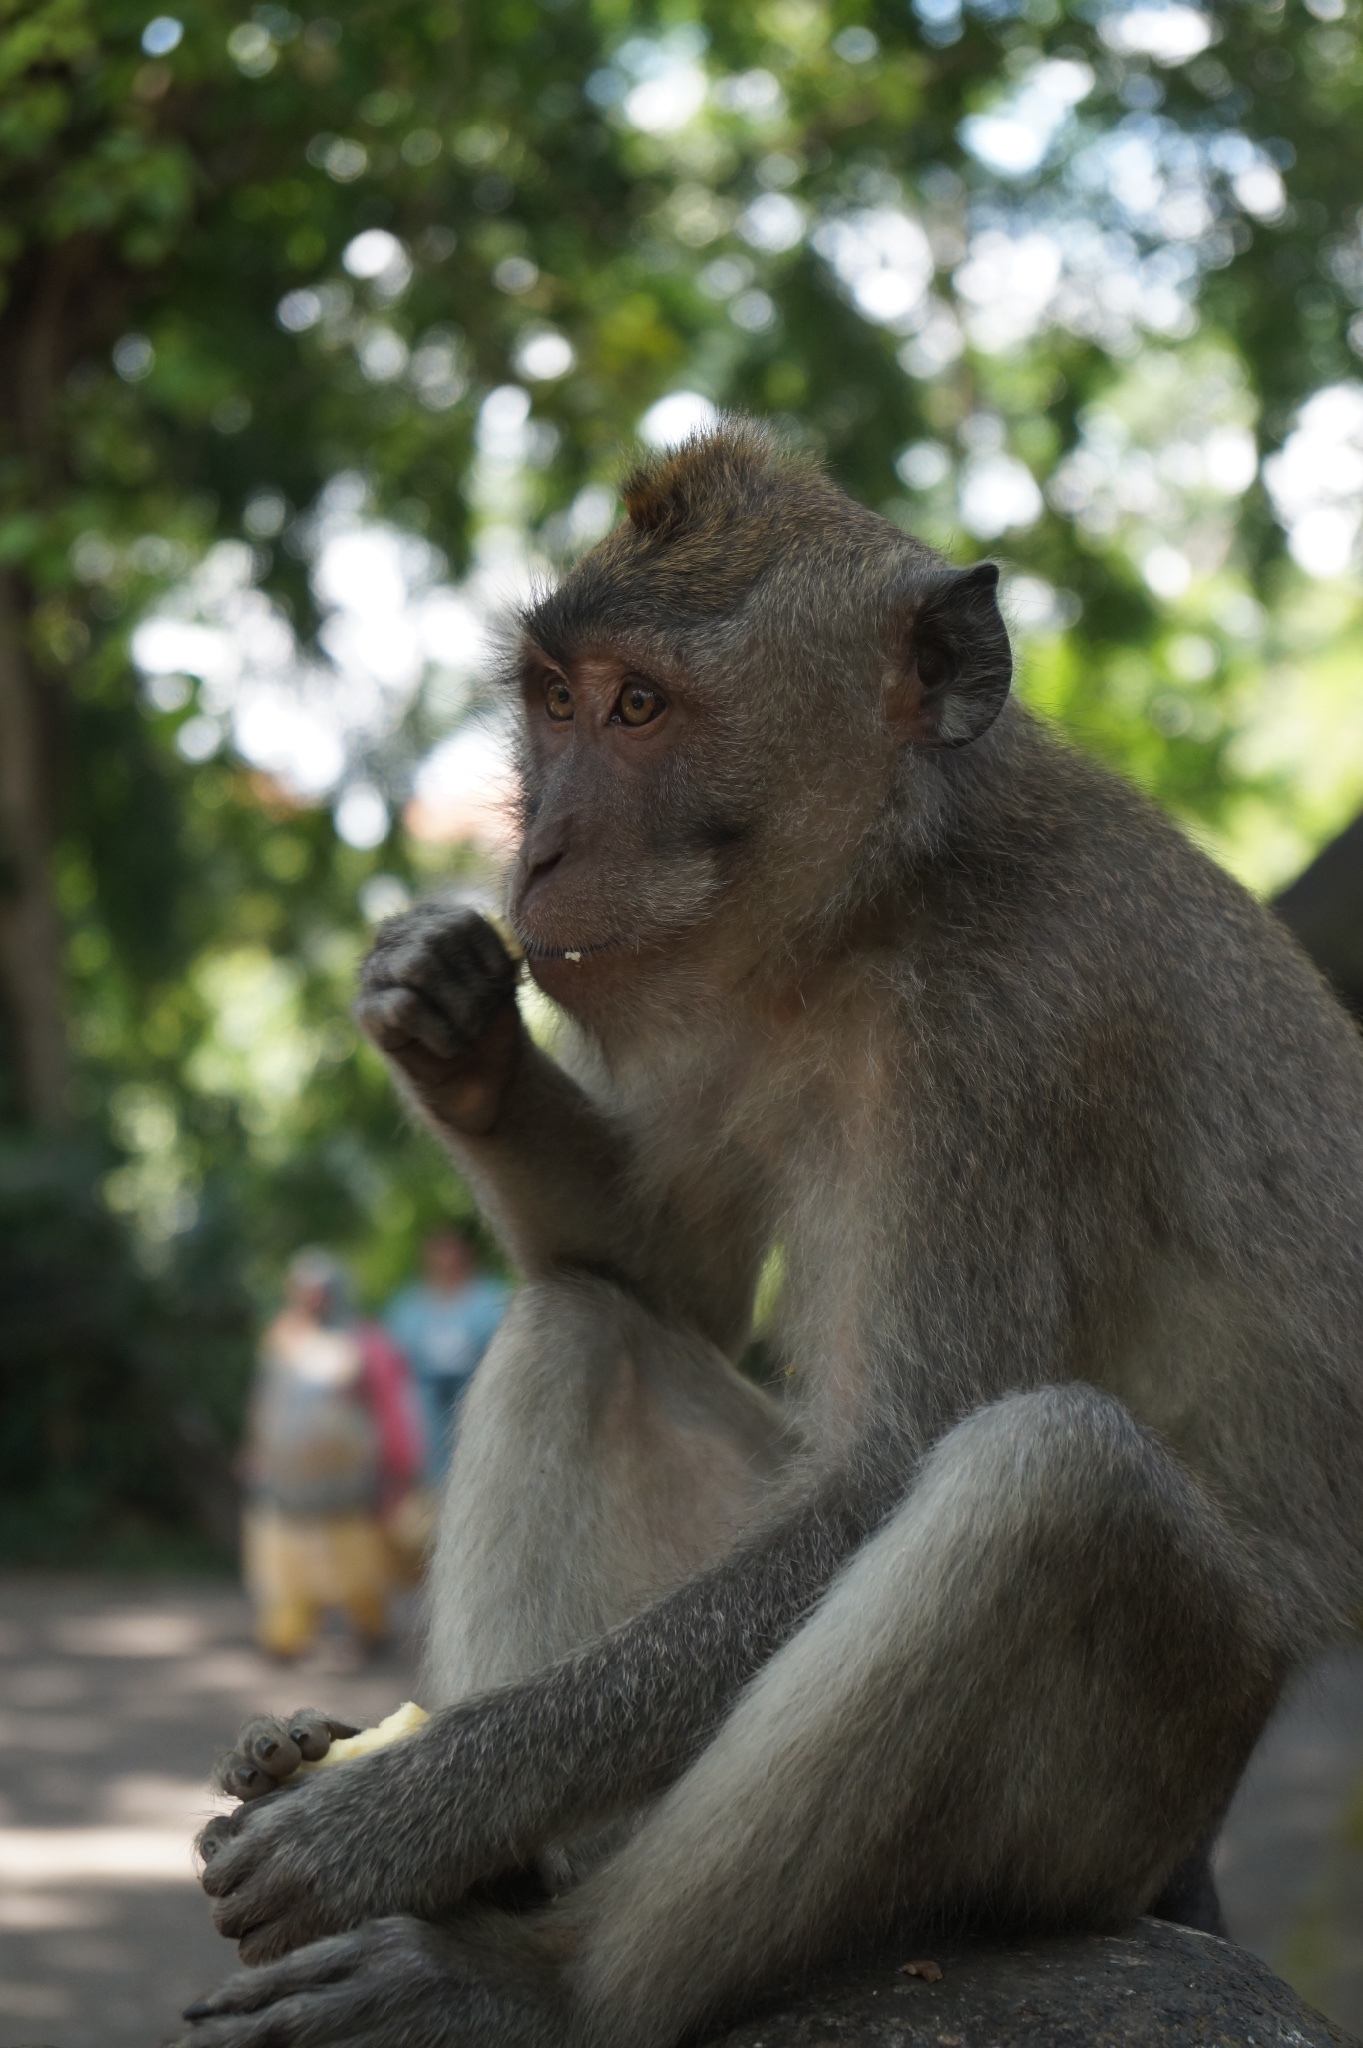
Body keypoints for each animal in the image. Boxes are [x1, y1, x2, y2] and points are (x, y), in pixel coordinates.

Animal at [174, 419, 1358, 2048]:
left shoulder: (1005, 1040)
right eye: (553, 701)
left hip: (1125, 1812)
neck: (882, 907)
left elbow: (884, 1471)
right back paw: (495, 1873)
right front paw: (447, 1017)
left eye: (640, 706)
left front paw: (400, 1814)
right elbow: (671, 1271)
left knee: (1056, 1485)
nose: (536, 854)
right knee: (579, 1322)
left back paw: (540, 1980)